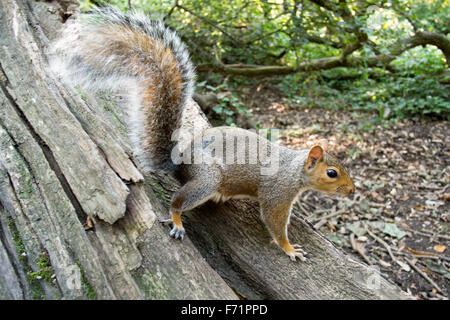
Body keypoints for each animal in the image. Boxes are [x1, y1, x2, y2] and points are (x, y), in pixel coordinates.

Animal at [51, 6, 356, 262]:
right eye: (332, 173)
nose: (352, 191)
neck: (294, 169)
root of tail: (180, 162)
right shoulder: (276, 193)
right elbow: (274, 223)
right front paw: (290, 249)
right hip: (207, 178)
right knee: (177, 202)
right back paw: (176, 221)